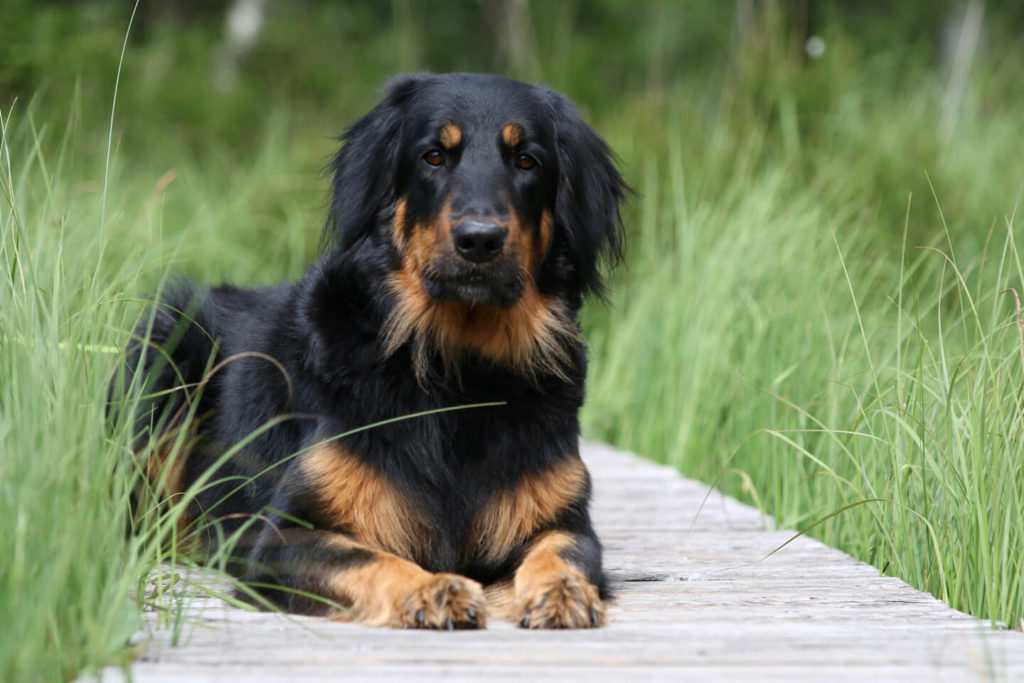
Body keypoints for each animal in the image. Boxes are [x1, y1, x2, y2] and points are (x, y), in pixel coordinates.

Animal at [115, 72, 627, 630]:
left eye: (527, 161)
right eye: (433, 157)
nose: (479, 240)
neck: (458, 369)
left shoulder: (566, 520)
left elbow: (560, 550)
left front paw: (562, 590)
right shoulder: (278, 540)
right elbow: (371, 558)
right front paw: (430, 589)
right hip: (165, 342)